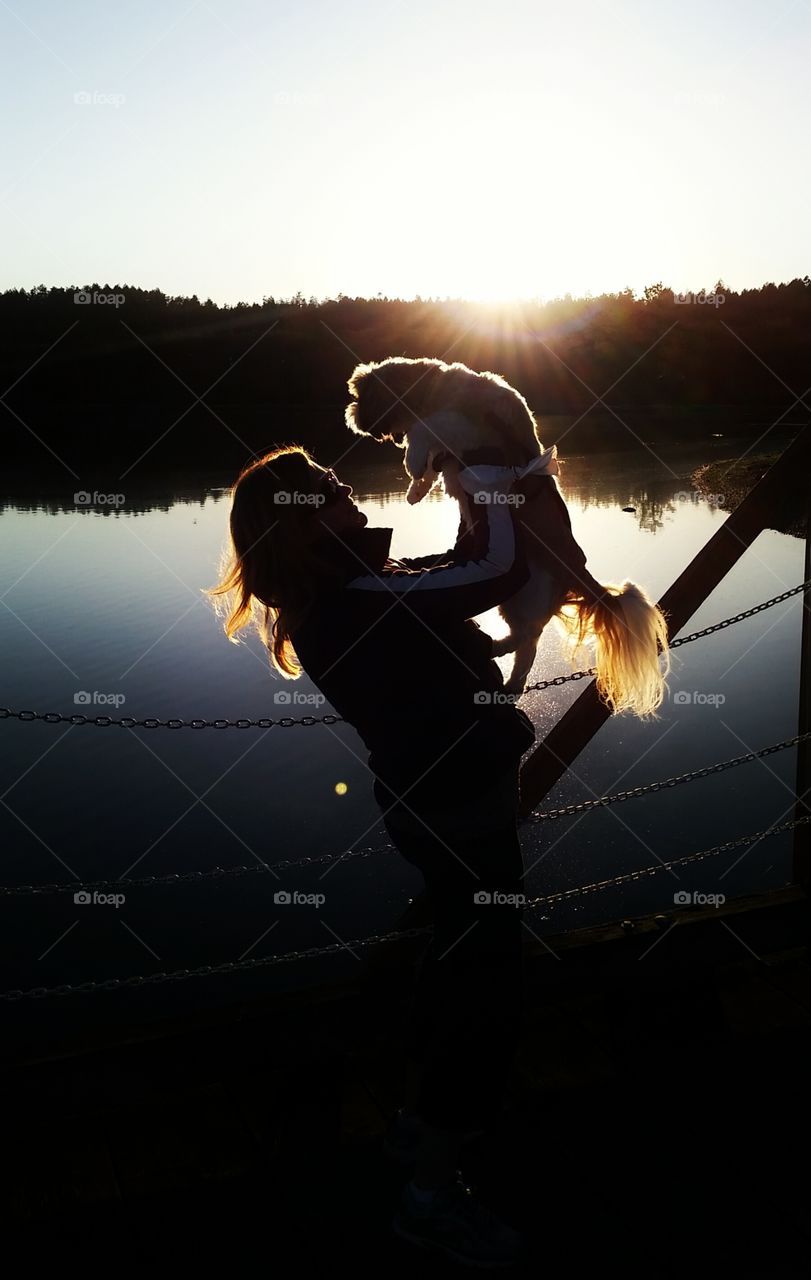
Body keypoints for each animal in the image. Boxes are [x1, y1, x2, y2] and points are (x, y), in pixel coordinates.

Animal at [345, 360, 665, 716]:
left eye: (360, 397)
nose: (351, 415)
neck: (437, 388)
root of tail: (573, 570)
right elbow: (427, 461)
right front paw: (417, 489)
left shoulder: (459, 425)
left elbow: (424, 430)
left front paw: (412, 465)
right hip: (520, 599)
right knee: (527, 645)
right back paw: (506, 674)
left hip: (525, 596)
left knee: (526, 641)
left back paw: (499, 656)